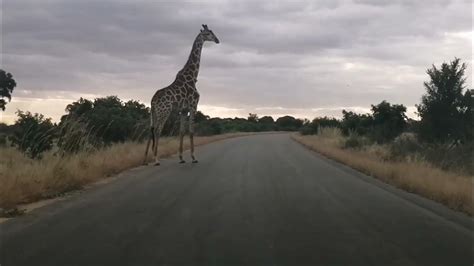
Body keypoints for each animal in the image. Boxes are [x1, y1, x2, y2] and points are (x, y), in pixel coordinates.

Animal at [143, 25, 219, 166]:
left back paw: (145, 159)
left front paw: (181, 158)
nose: (217, 40)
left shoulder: (183, 110)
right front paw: (193, 157)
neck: (193, 76)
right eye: (208, 34)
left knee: (150, 130)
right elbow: (191, 131)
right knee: (157, 130)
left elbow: (182, 131)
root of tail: (152, 101)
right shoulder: (193, 106)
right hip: (164, 111)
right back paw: (156, 159)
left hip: (154, 113)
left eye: (212, 32)